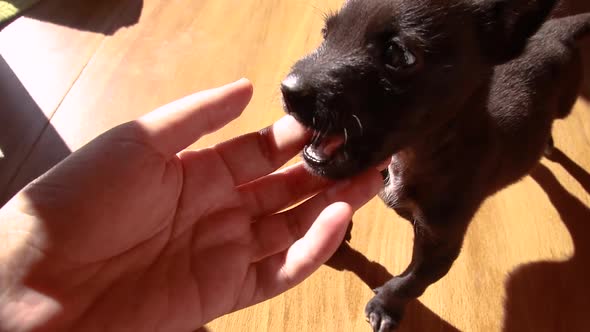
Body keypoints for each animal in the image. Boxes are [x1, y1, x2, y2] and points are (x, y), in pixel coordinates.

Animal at [280, 0, 590, 330]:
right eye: (326, 34)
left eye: (398, 55)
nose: (288, 90)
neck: (410, 158)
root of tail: (557, 28)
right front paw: (332, 234)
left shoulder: (440, 246)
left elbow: (411, 282)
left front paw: (385, 306)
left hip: (567, 101)